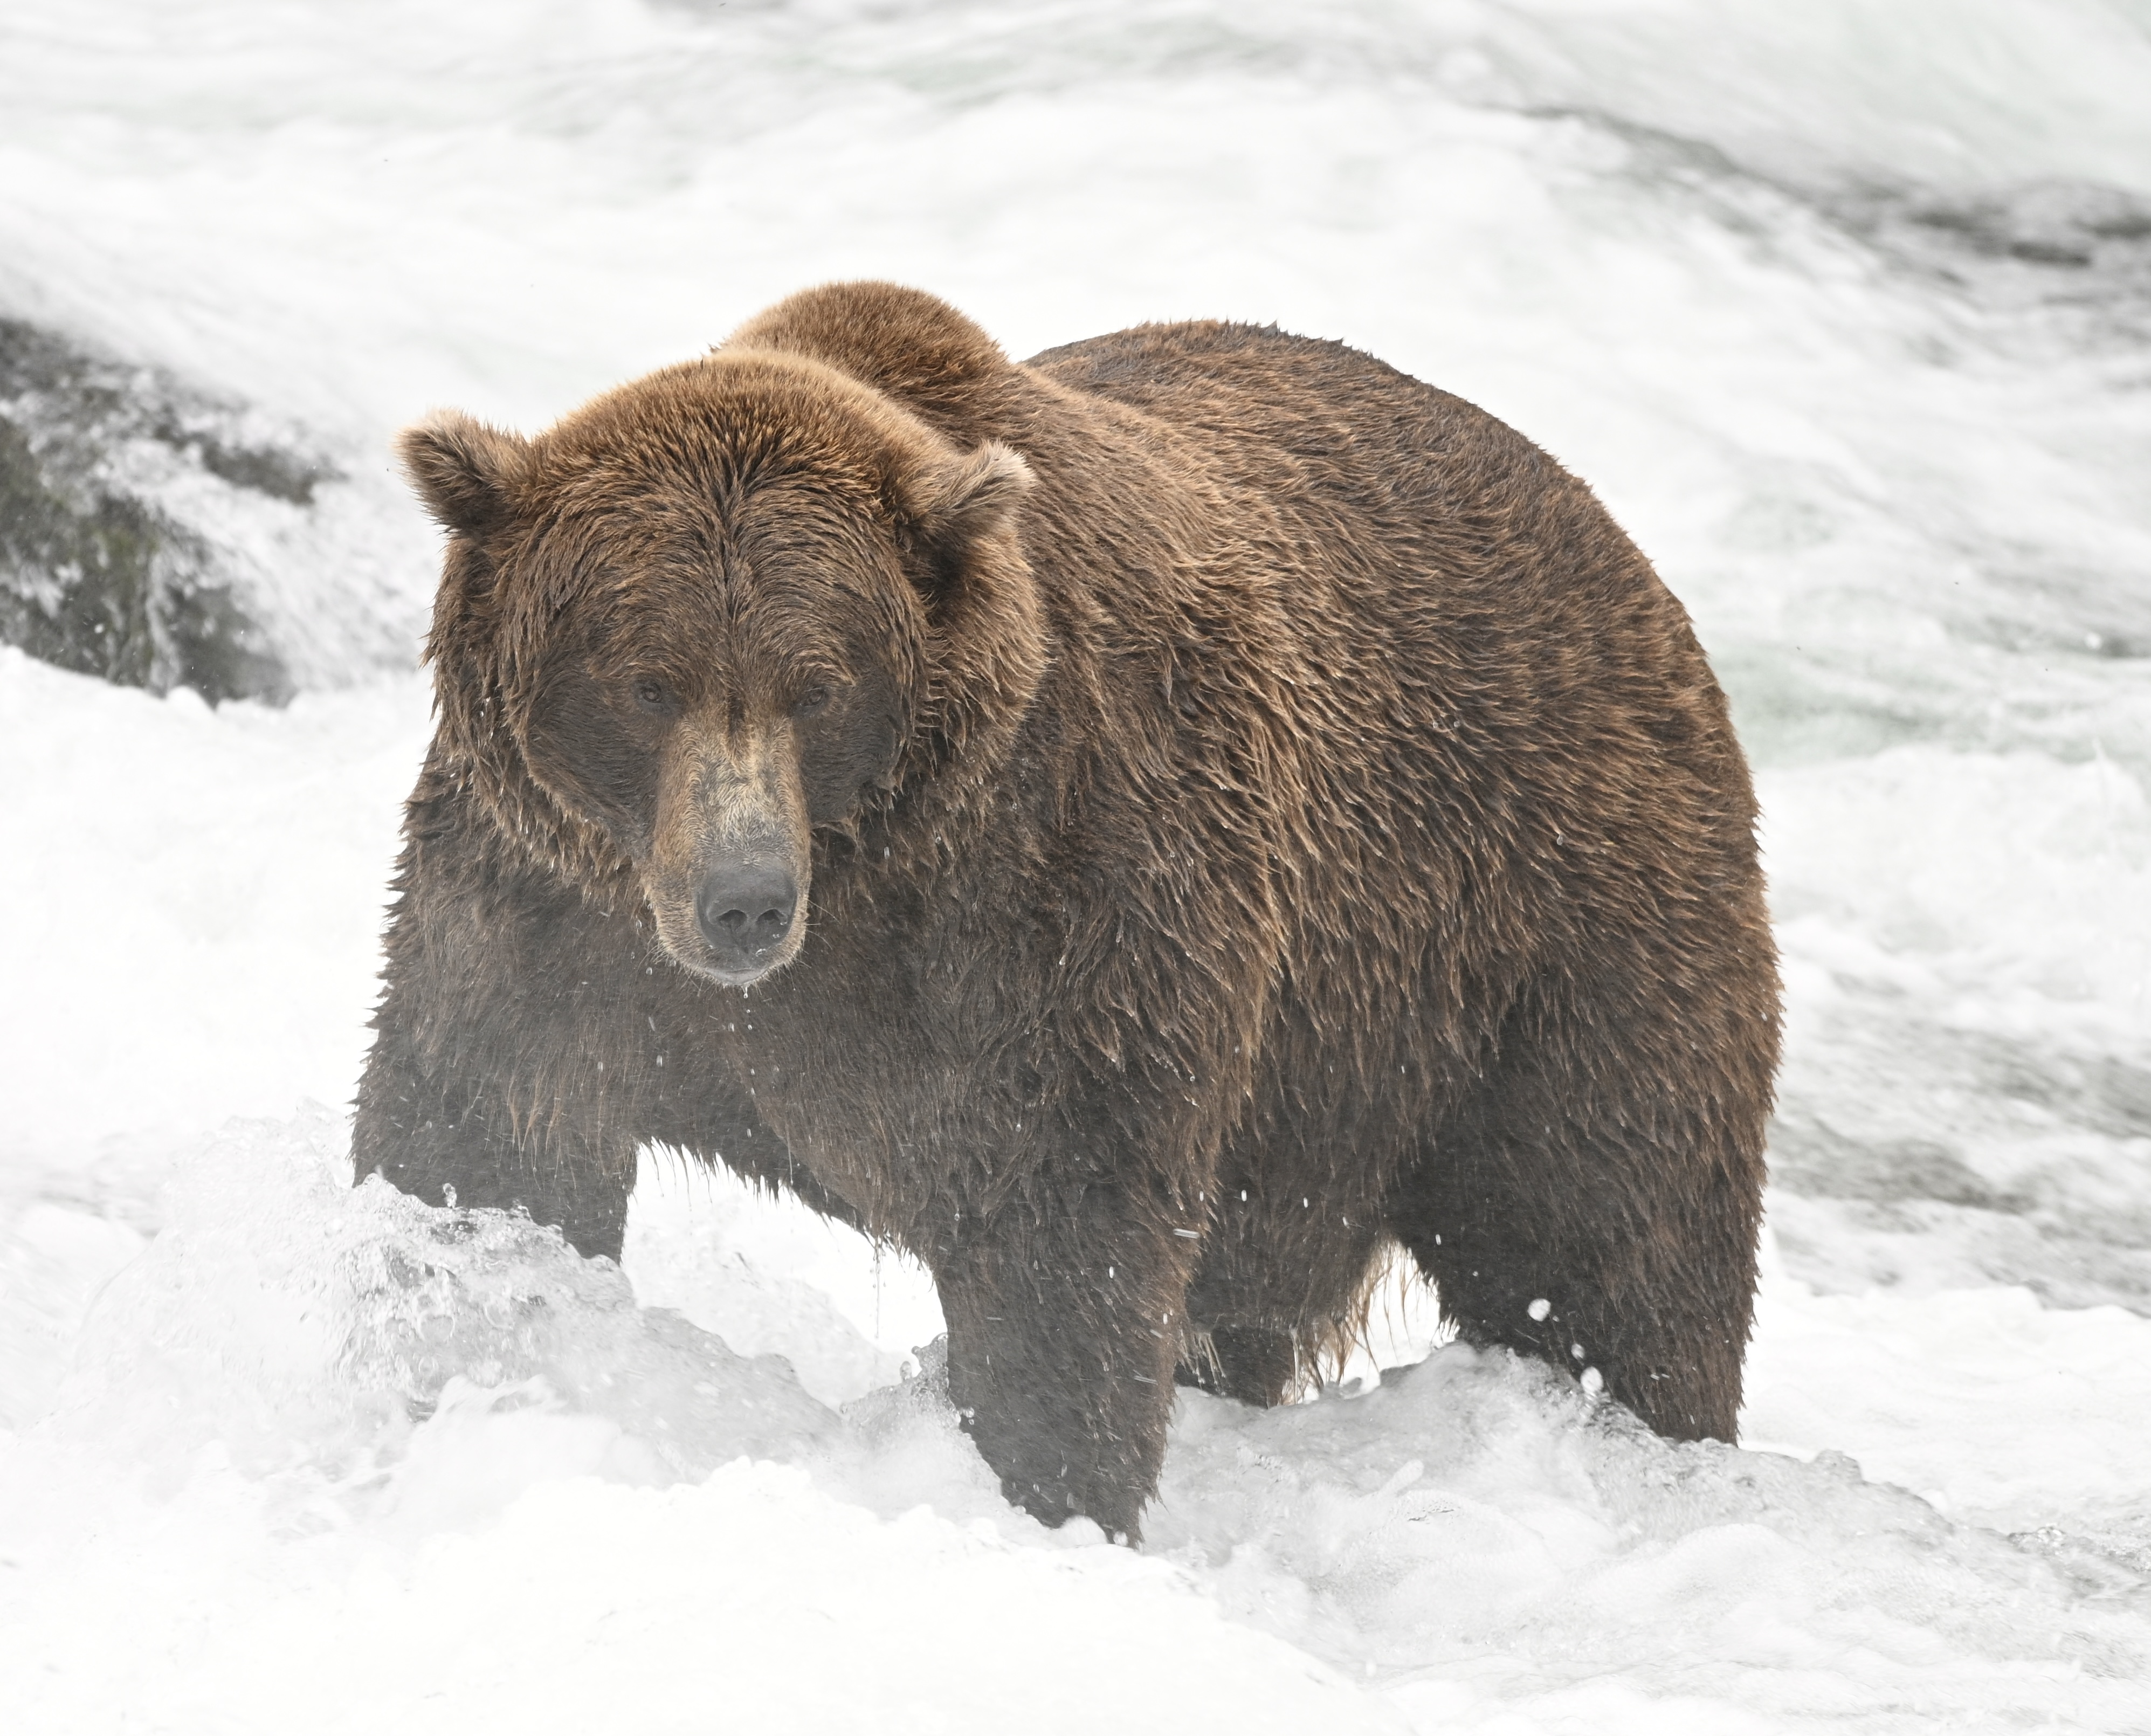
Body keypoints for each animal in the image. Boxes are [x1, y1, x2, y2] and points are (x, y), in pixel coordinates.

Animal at [355, 282, 1779, 1542]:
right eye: (646, 680)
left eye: (818, 684)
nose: (743, 902)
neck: (867, 882)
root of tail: (1628, 561)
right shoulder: (544, 911)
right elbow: (486, 1136)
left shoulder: (1064, 903)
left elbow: (1063, 1245)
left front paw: (1043, 1493)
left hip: (1538, 937)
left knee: (1610, 1245)